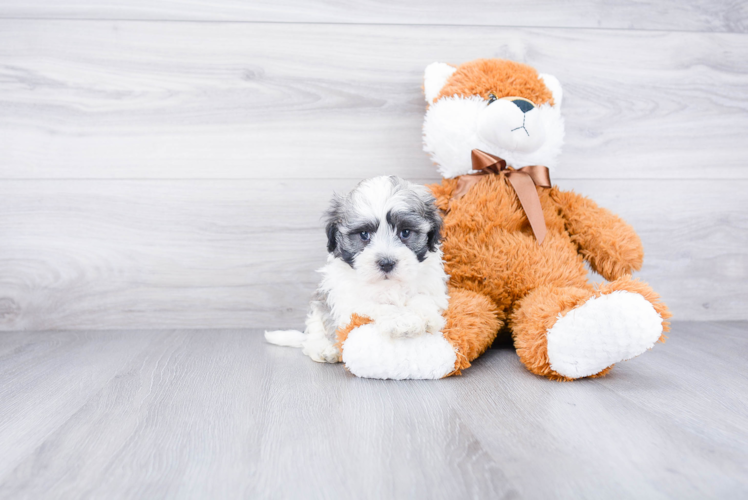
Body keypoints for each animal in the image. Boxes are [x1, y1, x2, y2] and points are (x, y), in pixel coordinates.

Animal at [264, 176, 448, 364]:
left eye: (405, 232)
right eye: (364, 234)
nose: (386, 263)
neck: (388, 284)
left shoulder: (432, 287)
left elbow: (423, 298)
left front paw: (425, 317)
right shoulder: (348, 299)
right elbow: (378, 305)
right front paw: (401, 321)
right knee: (315, 331)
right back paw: (324, 348)